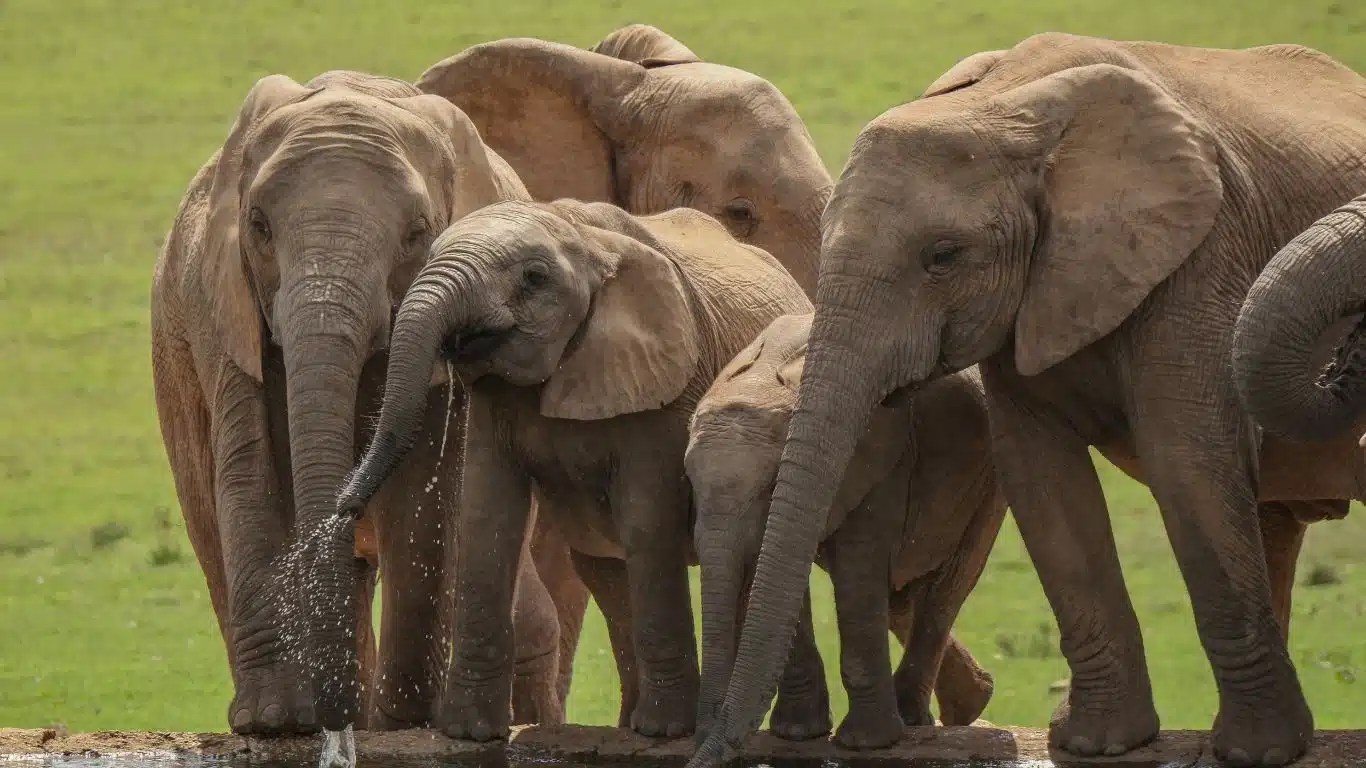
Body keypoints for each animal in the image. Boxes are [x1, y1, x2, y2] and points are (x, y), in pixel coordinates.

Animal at [150, 70, 565, 734]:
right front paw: (276, 722)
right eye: (259, 225)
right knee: (210, 526)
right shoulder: (222, 310)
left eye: (418, 232)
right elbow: (251, 471)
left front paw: (405, 725)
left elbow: (426, 493)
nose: (347, 505)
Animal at [337, 199, 811, 741]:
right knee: (607, 574)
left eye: (535, 278)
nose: (344, 510)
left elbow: (648, 521)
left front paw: (668, 732)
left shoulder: (664, 390)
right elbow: (486, 513)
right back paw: (632, 728)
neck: (583, 239)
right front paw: (469, 734)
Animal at [686, 313, 1003, 748]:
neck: (764, 379)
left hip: (990, 485)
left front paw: (866, 742)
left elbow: (858, 565)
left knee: (949, 586)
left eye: (771, 485)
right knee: (901, 597)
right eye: (688, 480)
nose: (704, 739)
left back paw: (915, 717)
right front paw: (798, 733)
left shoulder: (881, 459)